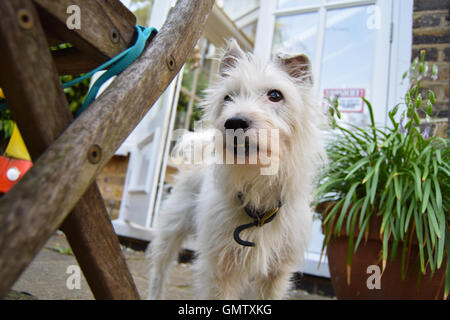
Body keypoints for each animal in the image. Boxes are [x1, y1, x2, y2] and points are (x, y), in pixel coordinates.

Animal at [149, 40, 326, 300]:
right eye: (227, 98)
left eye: (275, 95)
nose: (233, 122)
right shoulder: (220, 271)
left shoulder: (275, 274)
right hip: (171, 229)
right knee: (160, 271)